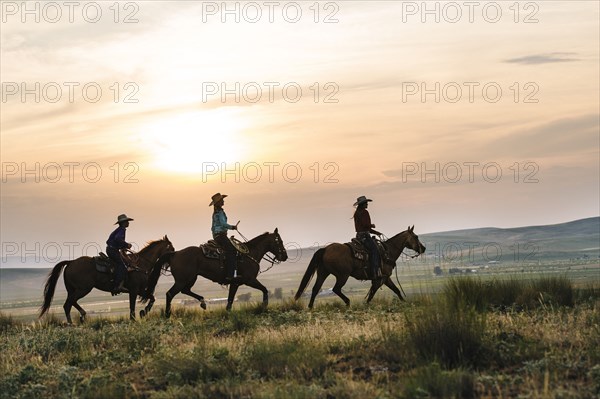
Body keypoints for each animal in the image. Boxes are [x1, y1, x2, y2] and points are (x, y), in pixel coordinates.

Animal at [39, 236, 173, 324]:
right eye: (171, 248)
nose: (171, 262)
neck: (140, 264)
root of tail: (71, 262)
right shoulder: (134, 290)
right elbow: (132, 306)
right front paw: (135, 317)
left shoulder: (139, 290)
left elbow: (152, 298)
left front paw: (143, 312)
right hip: (83, 289)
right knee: (68, 304)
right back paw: (72, 323)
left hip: (73, 290)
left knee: (71, 302)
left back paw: (82, 316)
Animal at [143, 230, 288, 318]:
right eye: (279, 241)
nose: (285, 256)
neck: (249, 254)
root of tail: (175, 253)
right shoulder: (250, 280)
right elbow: (264, 289)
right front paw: (264, 305)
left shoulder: (235, 283)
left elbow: (230, 300)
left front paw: (227, 313)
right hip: (182, 280)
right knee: (170, 294)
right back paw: (167, 314)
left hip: (191, 278)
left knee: (185, 290)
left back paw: (203, 302)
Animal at [292, 225, 424, 310]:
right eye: (416, 237)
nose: (423, 248)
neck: (387, 252)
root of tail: (325, 249)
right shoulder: (380, 279)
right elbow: (372, 293)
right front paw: (366, 305)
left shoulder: (385, 278)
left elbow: (396, 290)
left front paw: (404, 302)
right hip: (342, 275)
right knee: (336, 289)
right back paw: (347, 302)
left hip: (323, 272)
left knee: (316, 288)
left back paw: (310, 307)